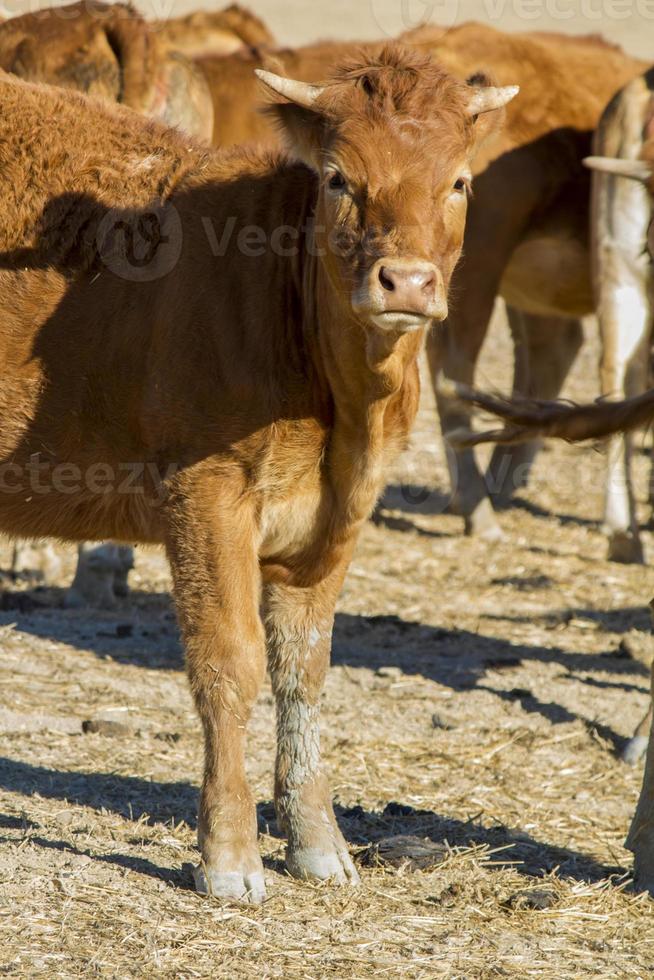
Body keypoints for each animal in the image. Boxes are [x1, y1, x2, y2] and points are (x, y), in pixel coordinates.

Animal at [0, 49, 516, 900]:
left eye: (460, 182)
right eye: (338, 178)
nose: (406, 283)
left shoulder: (338, 517)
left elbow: (303, 671)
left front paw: (318, 843)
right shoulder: (205, 494)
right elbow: (230, 664)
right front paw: (231, 854)